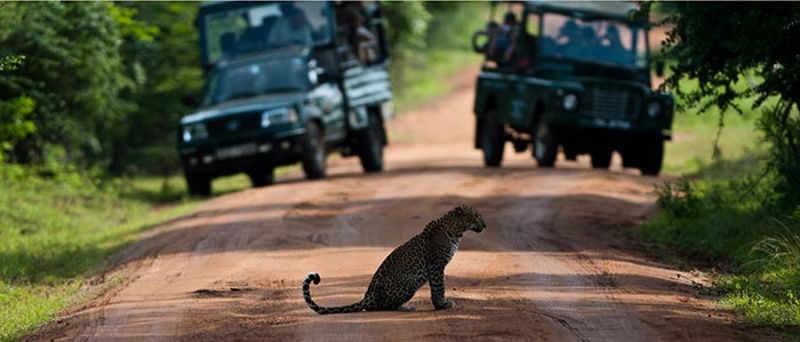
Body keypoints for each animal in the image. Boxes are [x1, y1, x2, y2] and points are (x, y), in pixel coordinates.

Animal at [302, 204, 484, 314]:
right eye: (475, 216)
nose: (485, 225)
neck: (457, 230)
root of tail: (368, 296)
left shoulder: (435, 267)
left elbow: (436, 287)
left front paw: (440, 305)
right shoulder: (436, 265)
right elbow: (439, 287)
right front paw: (442, 305)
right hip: (409, 282)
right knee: (380, 307)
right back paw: (406, 308)